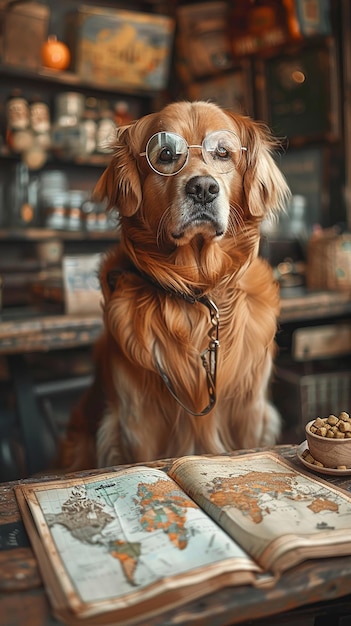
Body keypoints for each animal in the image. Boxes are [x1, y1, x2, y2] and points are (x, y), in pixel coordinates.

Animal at [58, 100, 292, 468]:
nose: (203, 189)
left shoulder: (250, 413)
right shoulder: (138, 422)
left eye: (223, 152)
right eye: (166, 154)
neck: (197, 290)